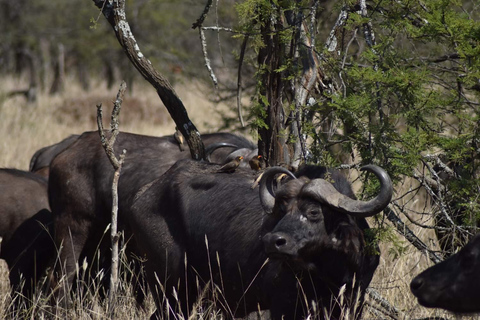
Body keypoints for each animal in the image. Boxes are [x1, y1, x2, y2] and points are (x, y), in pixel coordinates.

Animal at [128, 160, 394, 320]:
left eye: (313, 212)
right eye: (282, 210)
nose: (272, 241)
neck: (327, 274)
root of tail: (144, 194)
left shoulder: (353, 302)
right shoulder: (282, 307)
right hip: (172, 286)